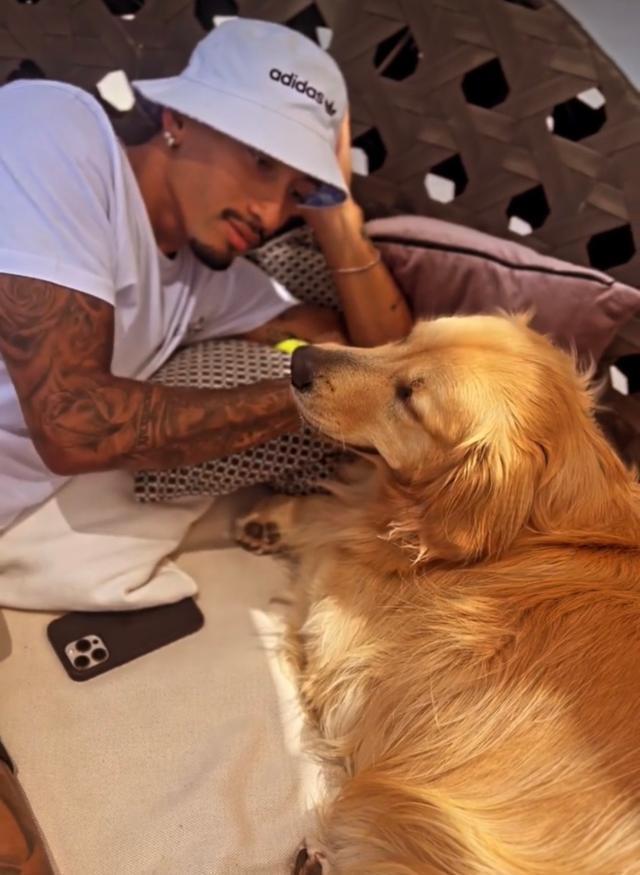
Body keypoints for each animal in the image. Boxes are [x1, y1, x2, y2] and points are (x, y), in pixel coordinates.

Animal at [236, 314, 640, 875]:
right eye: (407, 336)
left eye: (409, 398)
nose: (300, 361)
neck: (532, 528)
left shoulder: (341, 635)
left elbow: (328, 524)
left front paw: (280, 517)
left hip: (399, 811)